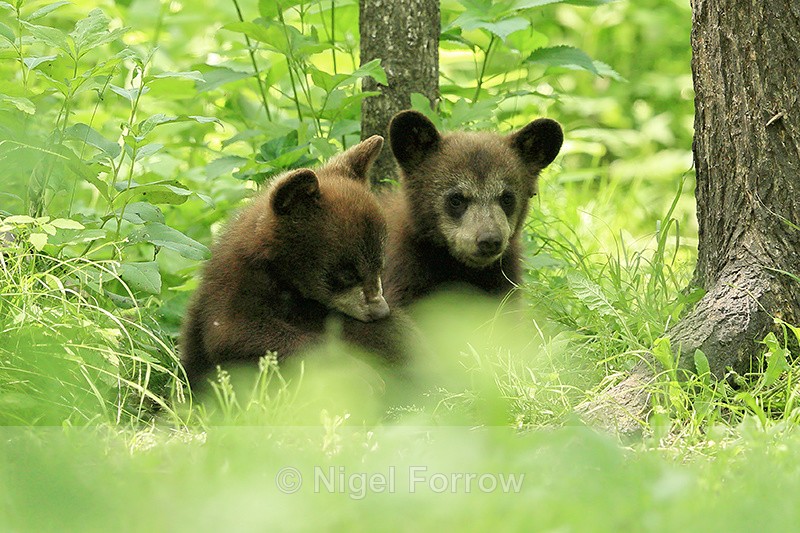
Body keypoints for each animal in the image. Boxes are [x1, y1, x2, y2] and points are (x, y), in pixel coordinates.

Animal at [180, 135, 408, 389]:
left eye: (380, 265)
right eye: (347, 273)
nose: (381, 311)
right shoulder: (232, 290)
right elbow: (237, 334)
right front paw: (361, 374)